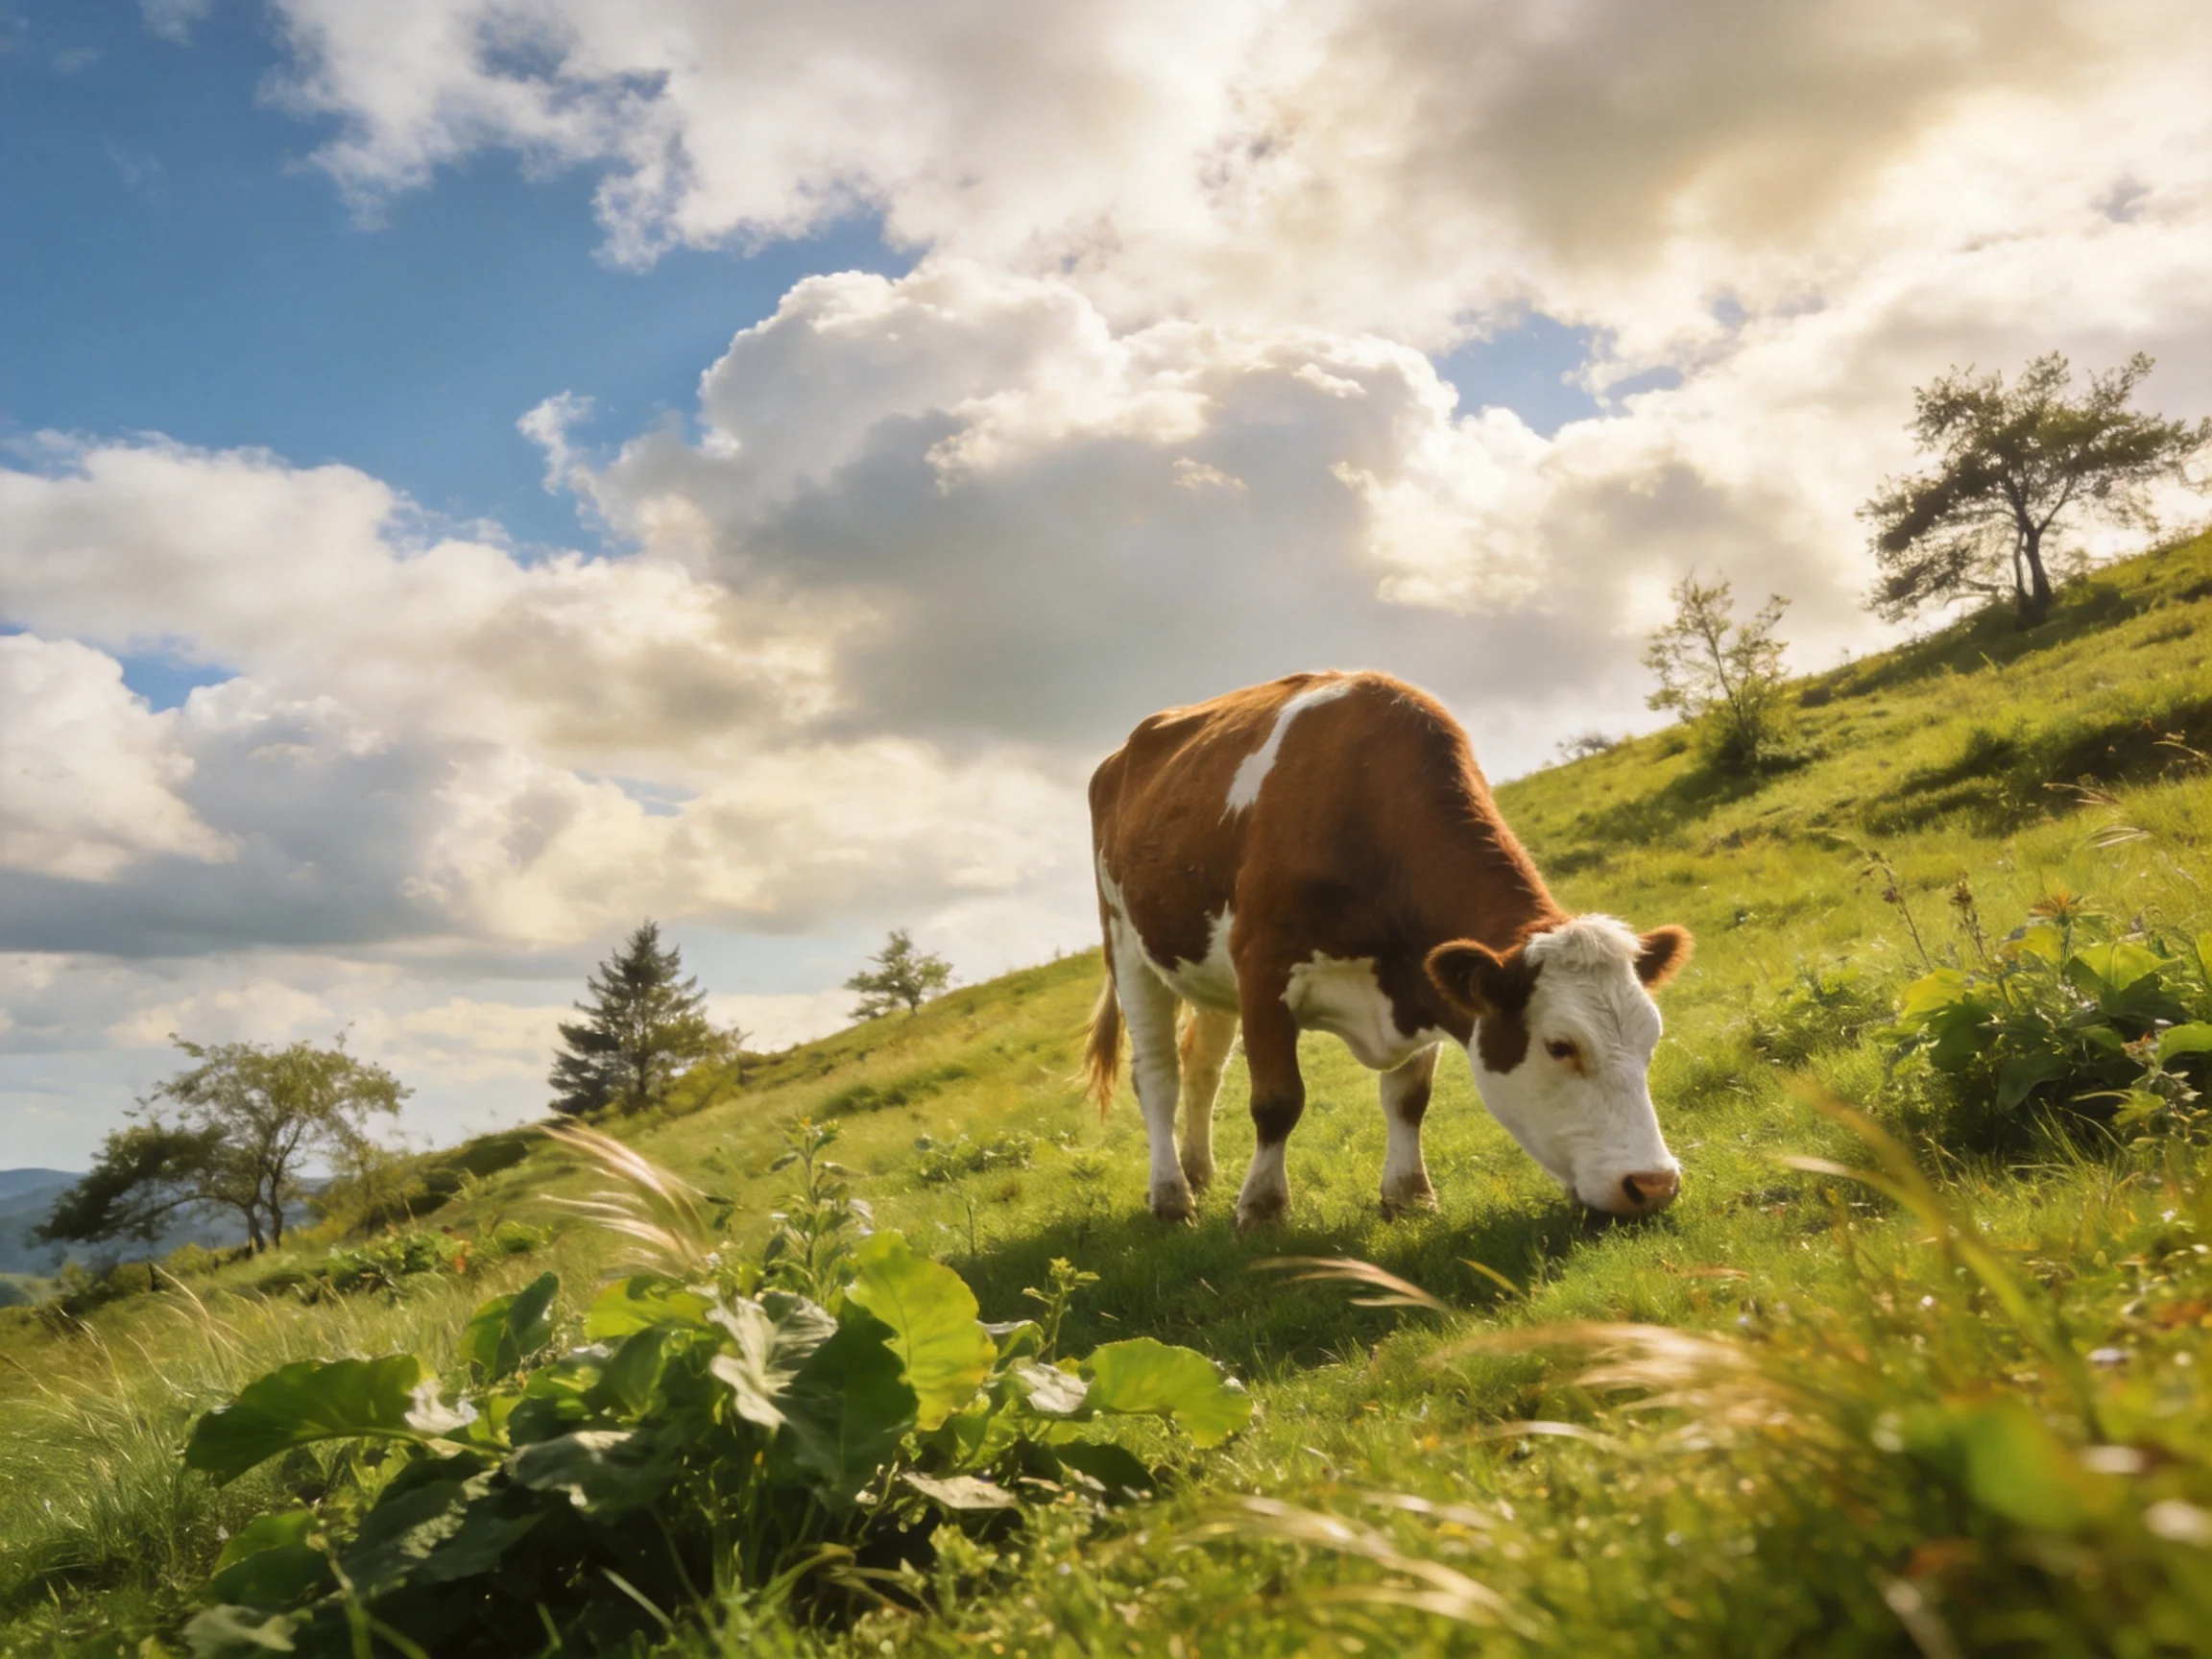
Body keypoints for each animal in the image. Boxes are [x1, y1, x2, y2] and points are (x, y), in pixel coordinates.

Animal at [1083, 670, 1692, 1232]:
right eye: (1560, 1046)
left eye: (1651, 1039)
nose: (1652, 1184)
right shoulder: (1263, 969)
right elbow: (1277, 1100)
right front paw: (1262, 1207)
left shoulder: (1423, 976)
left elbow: (1409, 1097)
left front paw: (1409, 1194)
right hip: (1126, 944)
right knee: (1157, 1075)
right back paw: (1171, 1194)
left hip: (1207, 971)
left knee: (1202, 1067)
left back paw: (1199, 1171)